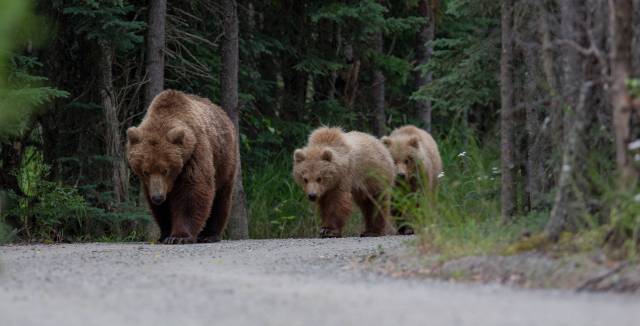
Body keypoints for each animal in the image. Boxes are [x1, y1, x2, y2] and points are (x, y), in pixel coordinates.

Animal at [125, 90, 238, 243]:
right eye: (145, 171)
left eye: (165, 170)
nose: (158, 197)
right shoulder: (152, 183)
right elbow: (162, 208)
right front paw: (165, 233)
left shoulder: (194, 154)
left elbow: (191, 192)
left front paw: (179, 237)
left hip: (224, 160)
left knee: (221, 197)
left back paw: (209, 235)